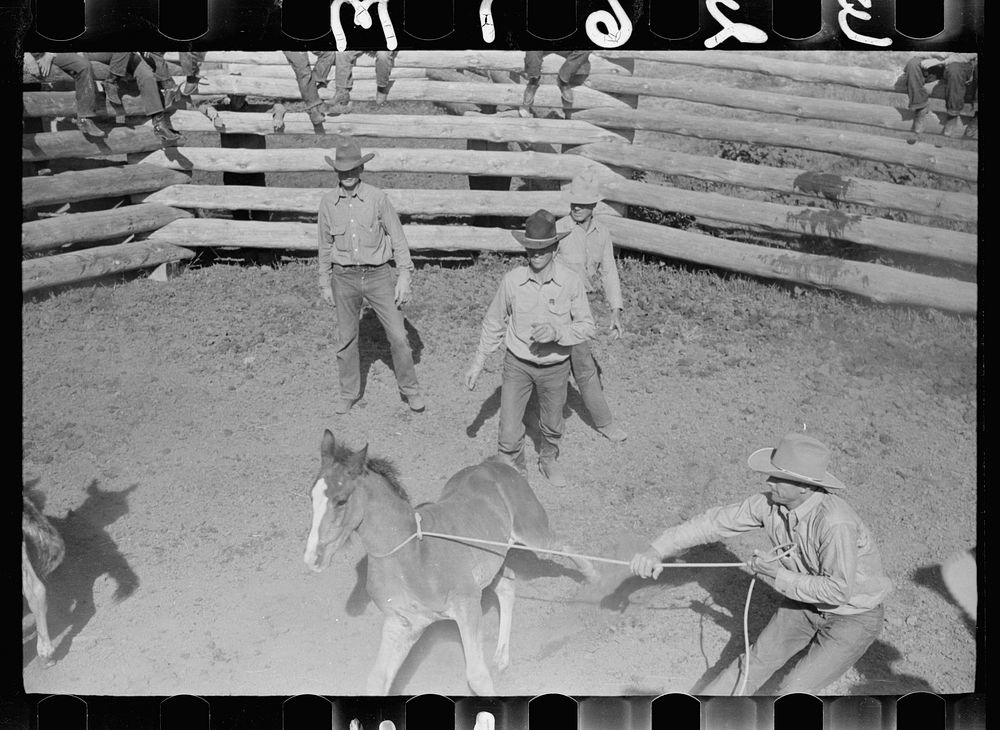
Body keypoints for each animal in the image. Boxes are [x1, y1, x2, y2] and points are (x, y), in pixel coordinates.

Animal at [298, 426, 592, 692]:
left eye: (341, 500)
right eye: (310, 495)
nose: (313, 557)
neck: (412, 556)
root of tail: (493, 464)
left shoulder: (467, 605)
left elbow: (477, 676)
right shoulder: (402, 624)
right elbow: (377, 680)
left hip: (532, 531)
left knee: (566, 545)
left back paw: (596, 584)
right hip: (493, 557)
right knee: (508, 586)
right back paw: (501, 658)